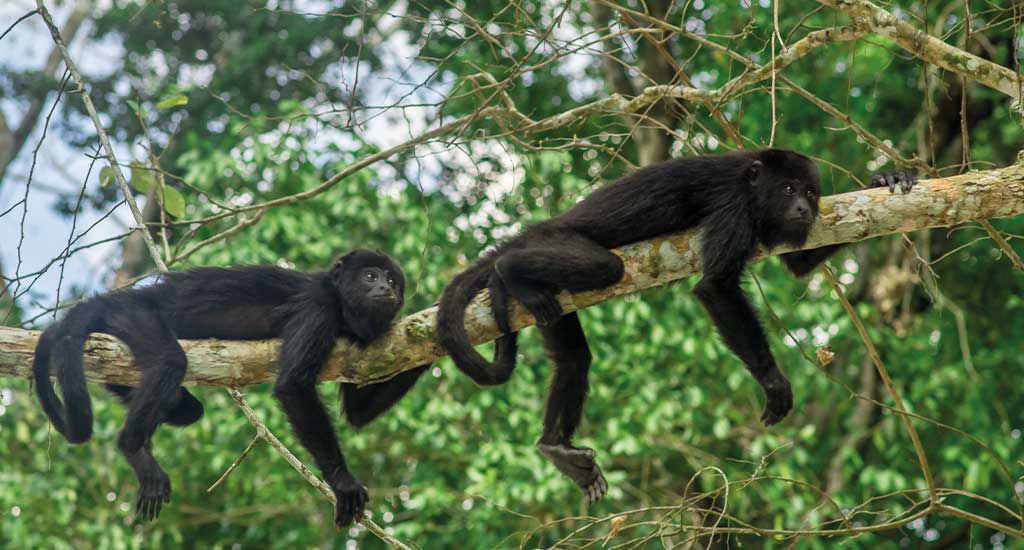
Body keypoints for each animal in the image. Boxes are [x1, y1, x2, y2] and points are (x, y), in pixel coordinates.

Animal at [33, 249, 428, 526]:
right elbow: (293, 385)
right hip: (134, 317)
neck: (345, 307)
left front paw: (435, 329)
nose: (385, 289)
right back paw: (133, 447)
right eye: (370, 276)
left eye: (393, 281)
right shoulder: (319, 305)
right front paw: (342, 481)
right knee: (169, 362)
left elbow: (357, 414)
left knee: (187, 409)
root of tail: (126, 296)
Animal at [435, 149, 916, 504]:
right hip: (556, 241)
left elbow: (797, 266)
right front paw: (774, 382)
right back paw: (507, 270)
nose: (803, 207)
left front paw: (884, 180)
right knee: (603, 267)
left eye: (812, 192)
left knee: (573, 359)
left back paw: (554, 446)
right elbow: (716, 287)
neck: (753, 184)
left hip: (551, 306)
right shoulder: (733, 206)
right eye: (788, 188)